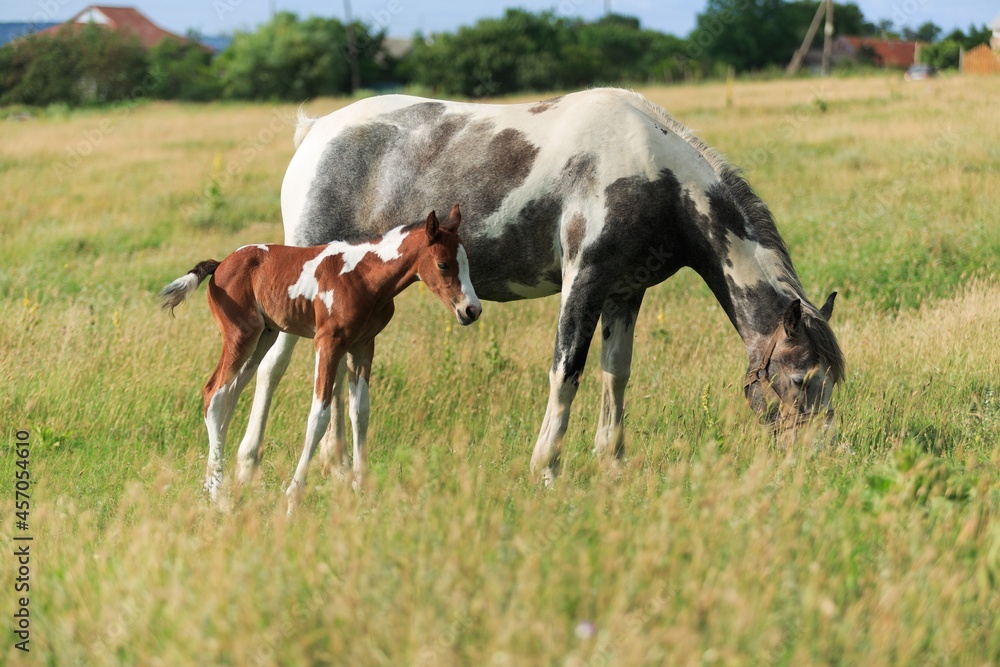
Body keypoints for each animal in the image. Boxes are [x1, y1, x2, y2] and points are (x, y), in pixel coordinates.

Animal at [160, 207, 480, 512]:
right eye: (443, 264)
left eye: (467, 261)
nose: (471, 310)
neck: (363, 277)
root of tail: (220, 265)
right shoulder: (327, 343)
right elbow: (319, 416)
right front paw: (293, 499)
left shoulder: (363, 345)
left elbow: (360, 412)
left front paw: (362, 490)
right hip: (241, 336)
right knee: (214, 393)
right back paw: (218, 496)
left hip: (264, 337)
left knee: (229, 394)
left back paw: (212, 486)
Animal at [232, 88, 844, 486]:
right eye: (799, 379)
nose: (817, 458)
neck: (656, 176)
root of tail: (315, 133)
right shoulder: (584, 282)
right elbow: (566, 370)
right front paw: (545, 467)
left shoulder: (624, 293)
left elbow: (615, 375)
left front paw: (611, 463)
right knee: (272, 369)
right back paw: (246, 466)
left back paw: (336, 466)